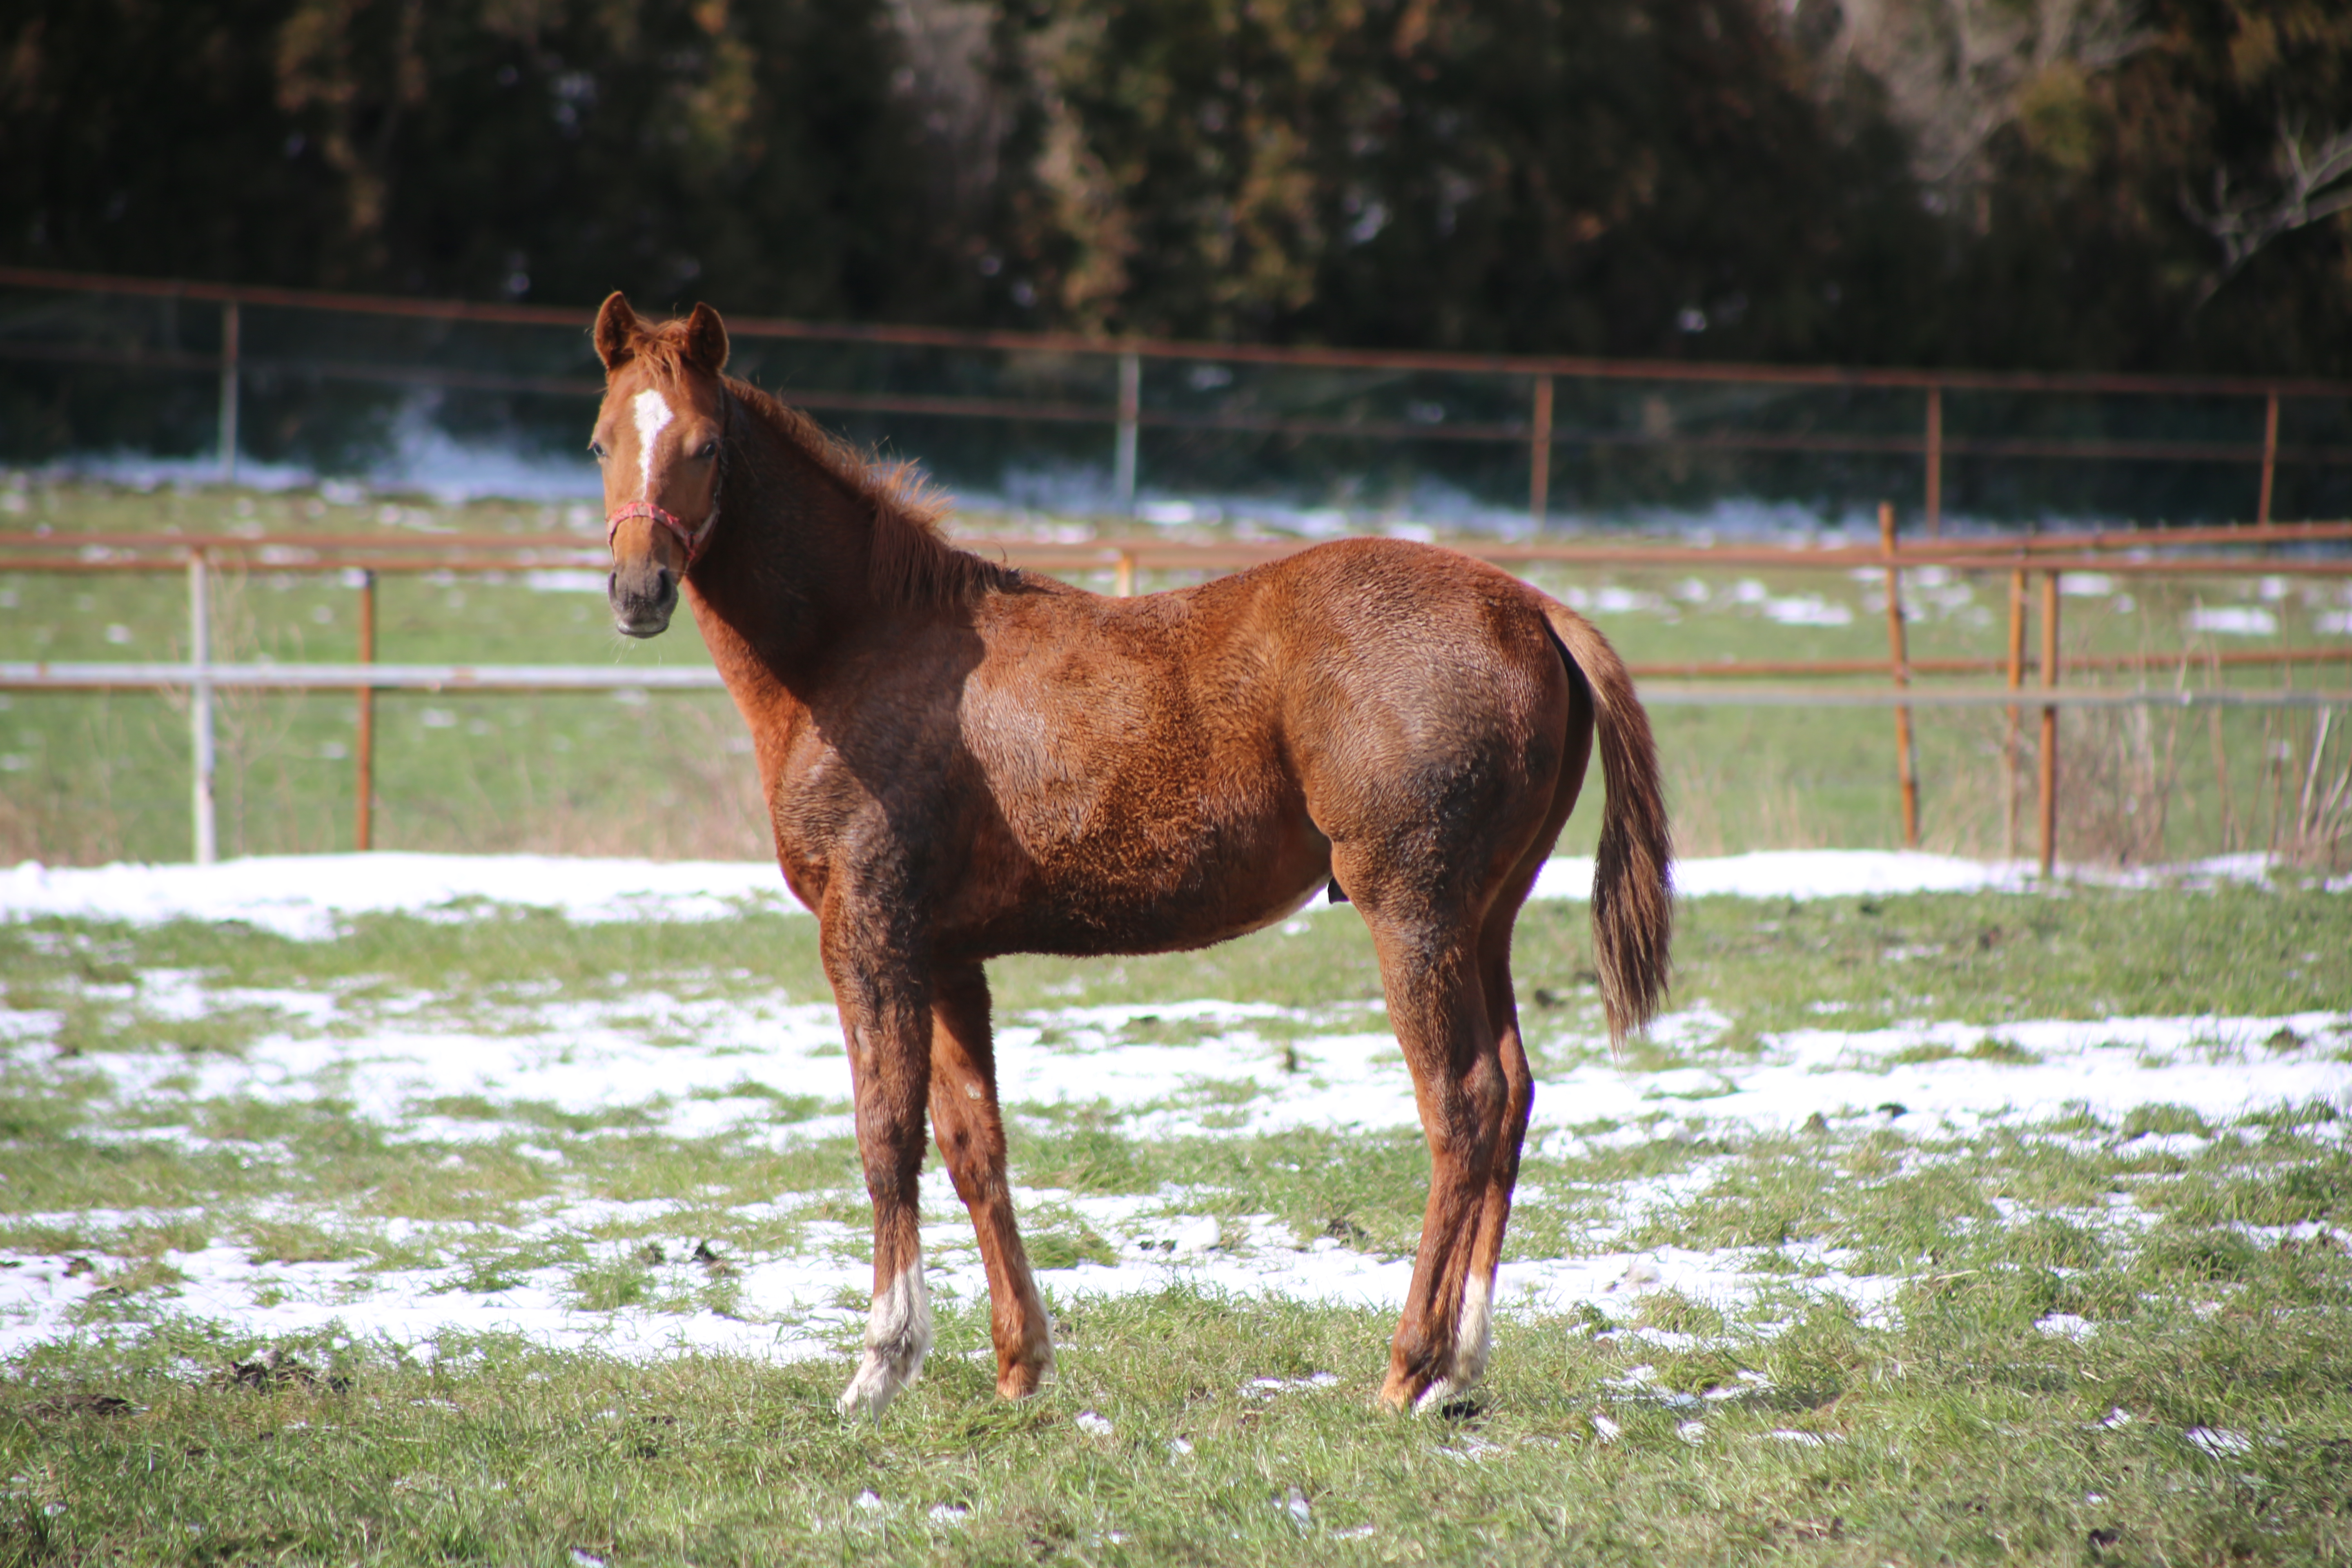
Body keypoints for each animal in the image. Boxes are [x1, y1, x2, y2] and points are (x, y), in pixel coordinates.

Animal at [588, 294, 1675, 1420]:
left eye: (707, 446)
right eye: (601, 442)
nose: (638, 590)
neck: (860, 647)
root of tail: (1528, 606)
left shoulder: (870, 932)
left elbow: (885, 1134)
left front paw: (880, 1365)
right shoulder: (947, 953)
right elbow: (974, 1145)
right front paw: (1019, 1363)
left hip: (1412, 911)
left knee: (1461, 1107)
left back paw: (1407, 1364)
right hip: (1484, 919)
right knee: (1510, 1095)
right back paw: (1458, 1367)